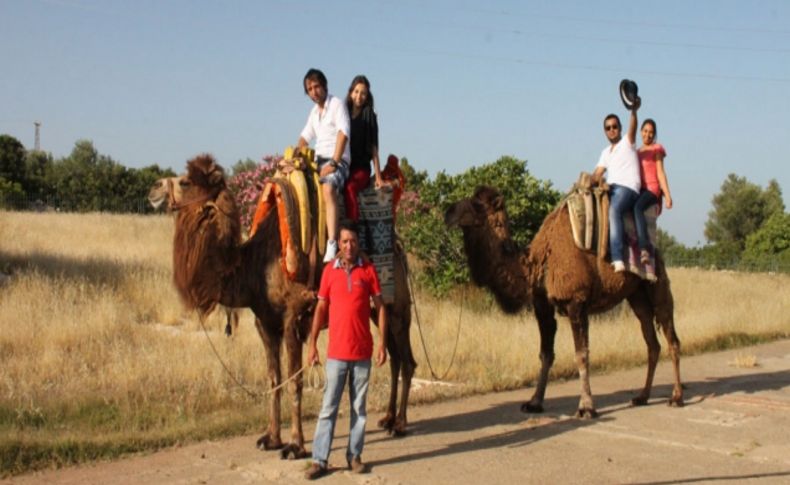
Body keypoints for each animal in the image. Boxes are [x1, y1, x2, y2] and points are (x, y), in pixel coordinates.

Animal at [165, 155, 418, 458]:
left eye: (185, 181)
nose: (155, 190)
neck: (252, 268)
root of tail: (399, 247)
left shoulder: (292, 319)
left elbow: (294, 381)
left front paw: (295, 445)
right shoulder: (265, 323)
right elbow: (274, 380)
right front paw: (271, 438)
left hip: (397, 308)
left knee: (407, 360)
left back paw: (400, 424)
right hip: (377, 310)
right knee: (395, 358)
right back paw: (388, 418)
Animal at [446, 184, 688, 416]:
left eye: (477, 204)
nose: (448, 212)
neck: (536, 265)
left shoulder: (576, 301)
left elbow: (581, 354)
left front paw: (586, 407)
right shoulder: (542, 305)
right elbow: (545, 354)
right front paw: (534, 402)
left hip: (657, 282)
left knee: (670, 335)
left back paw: (676, 397)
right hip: (635, 293)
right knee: (651, 340)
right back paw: (642, 396)